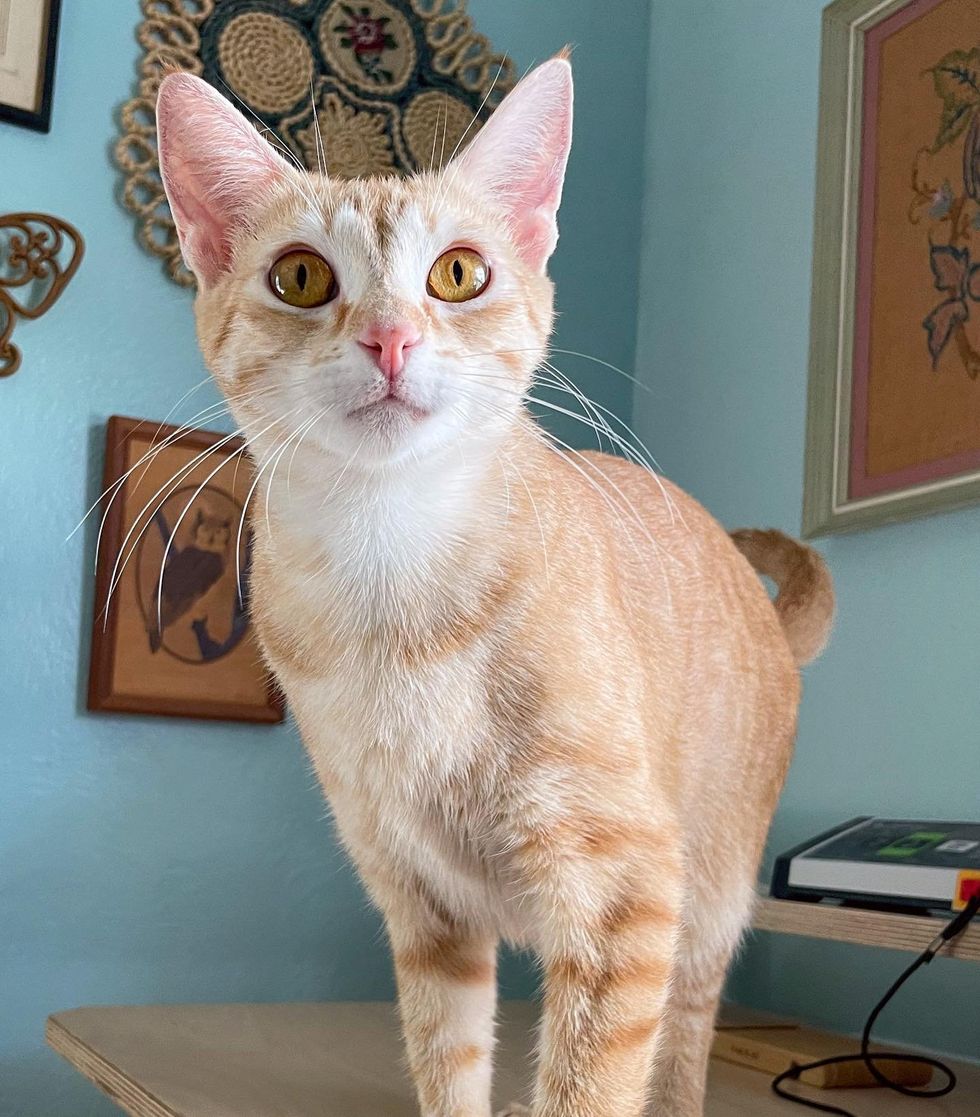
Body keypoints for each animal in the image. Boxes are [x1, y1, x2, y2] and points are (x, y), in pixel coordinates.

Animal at [156, 58, 831, 1117]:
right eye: (301, 276)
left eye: (458, 273)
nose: (390, 339)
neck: (391, 583)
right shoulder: (422, 904)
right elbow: (448, 1057)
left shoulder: (627, 891)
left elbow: (592, 1084)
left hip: (710, 896)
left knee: (681, 1042)